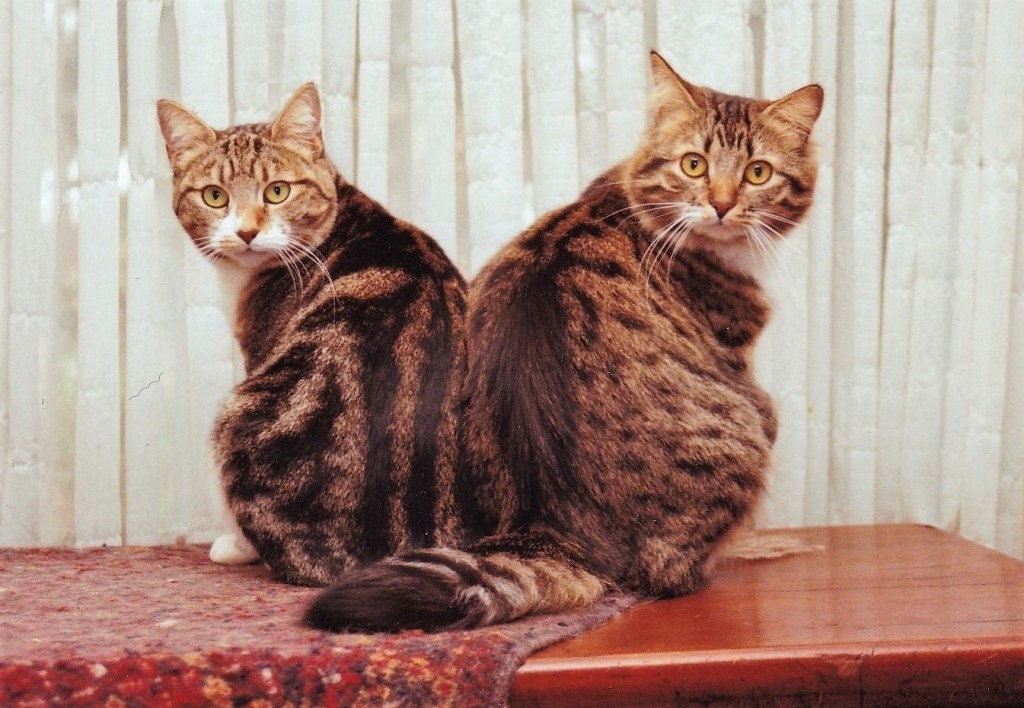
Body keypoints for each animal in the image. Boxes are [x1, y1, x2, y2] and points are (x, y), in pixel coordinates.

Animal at [304, 52, 823, 631]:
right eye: (694, 165)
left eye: (758, 173)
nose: (722, 204)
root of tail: (552, 525)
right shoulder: (739, 362)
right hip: (747, 432)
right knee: (671, 576)